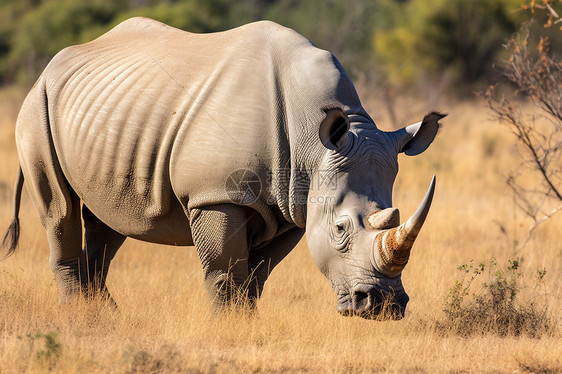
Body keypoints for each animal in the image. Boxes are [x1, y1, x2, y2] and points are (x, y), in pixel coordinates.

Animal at [4, 18, 442, 318]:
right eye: (340, 229)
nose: (384, 306)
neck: (314, 146)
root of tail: (52, 65)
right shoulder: (216, 194)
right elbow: (225, 270)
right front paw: (227, 324)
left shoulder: (293, 204)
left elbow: (258, 274)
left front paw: (247, 321)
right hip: (37, 105)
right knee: (60, 209)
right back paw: (77, 314)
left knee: (110, 216)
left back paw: (105, 313)